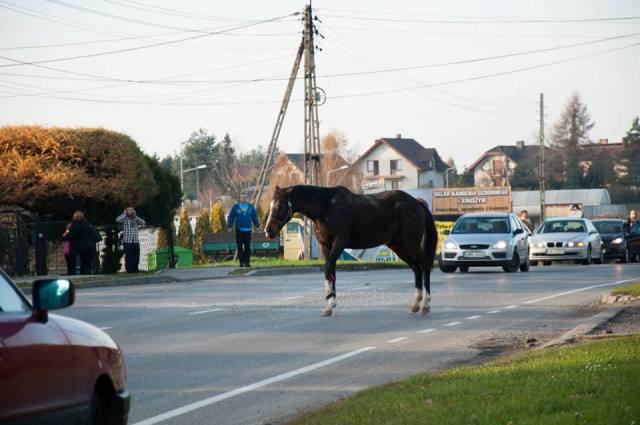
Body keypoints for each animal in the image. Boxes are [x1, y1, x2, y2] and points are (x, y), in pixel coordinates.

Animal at [262, 185, 438, 314]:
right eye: (270, 205)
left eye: (279, 205)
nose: (268, 230)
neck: (326, 208)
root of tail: (417, 202)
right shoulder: (326, 246)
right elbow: (330, 271)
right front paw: (329, 304)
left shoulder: (339, 242)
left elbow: (328, 269)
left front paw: (330, 303)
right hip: (398, 246)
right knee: (416, 269)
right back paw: (416, 303)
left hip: (411, 244)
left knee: (424, 267)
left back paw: (425, 304)